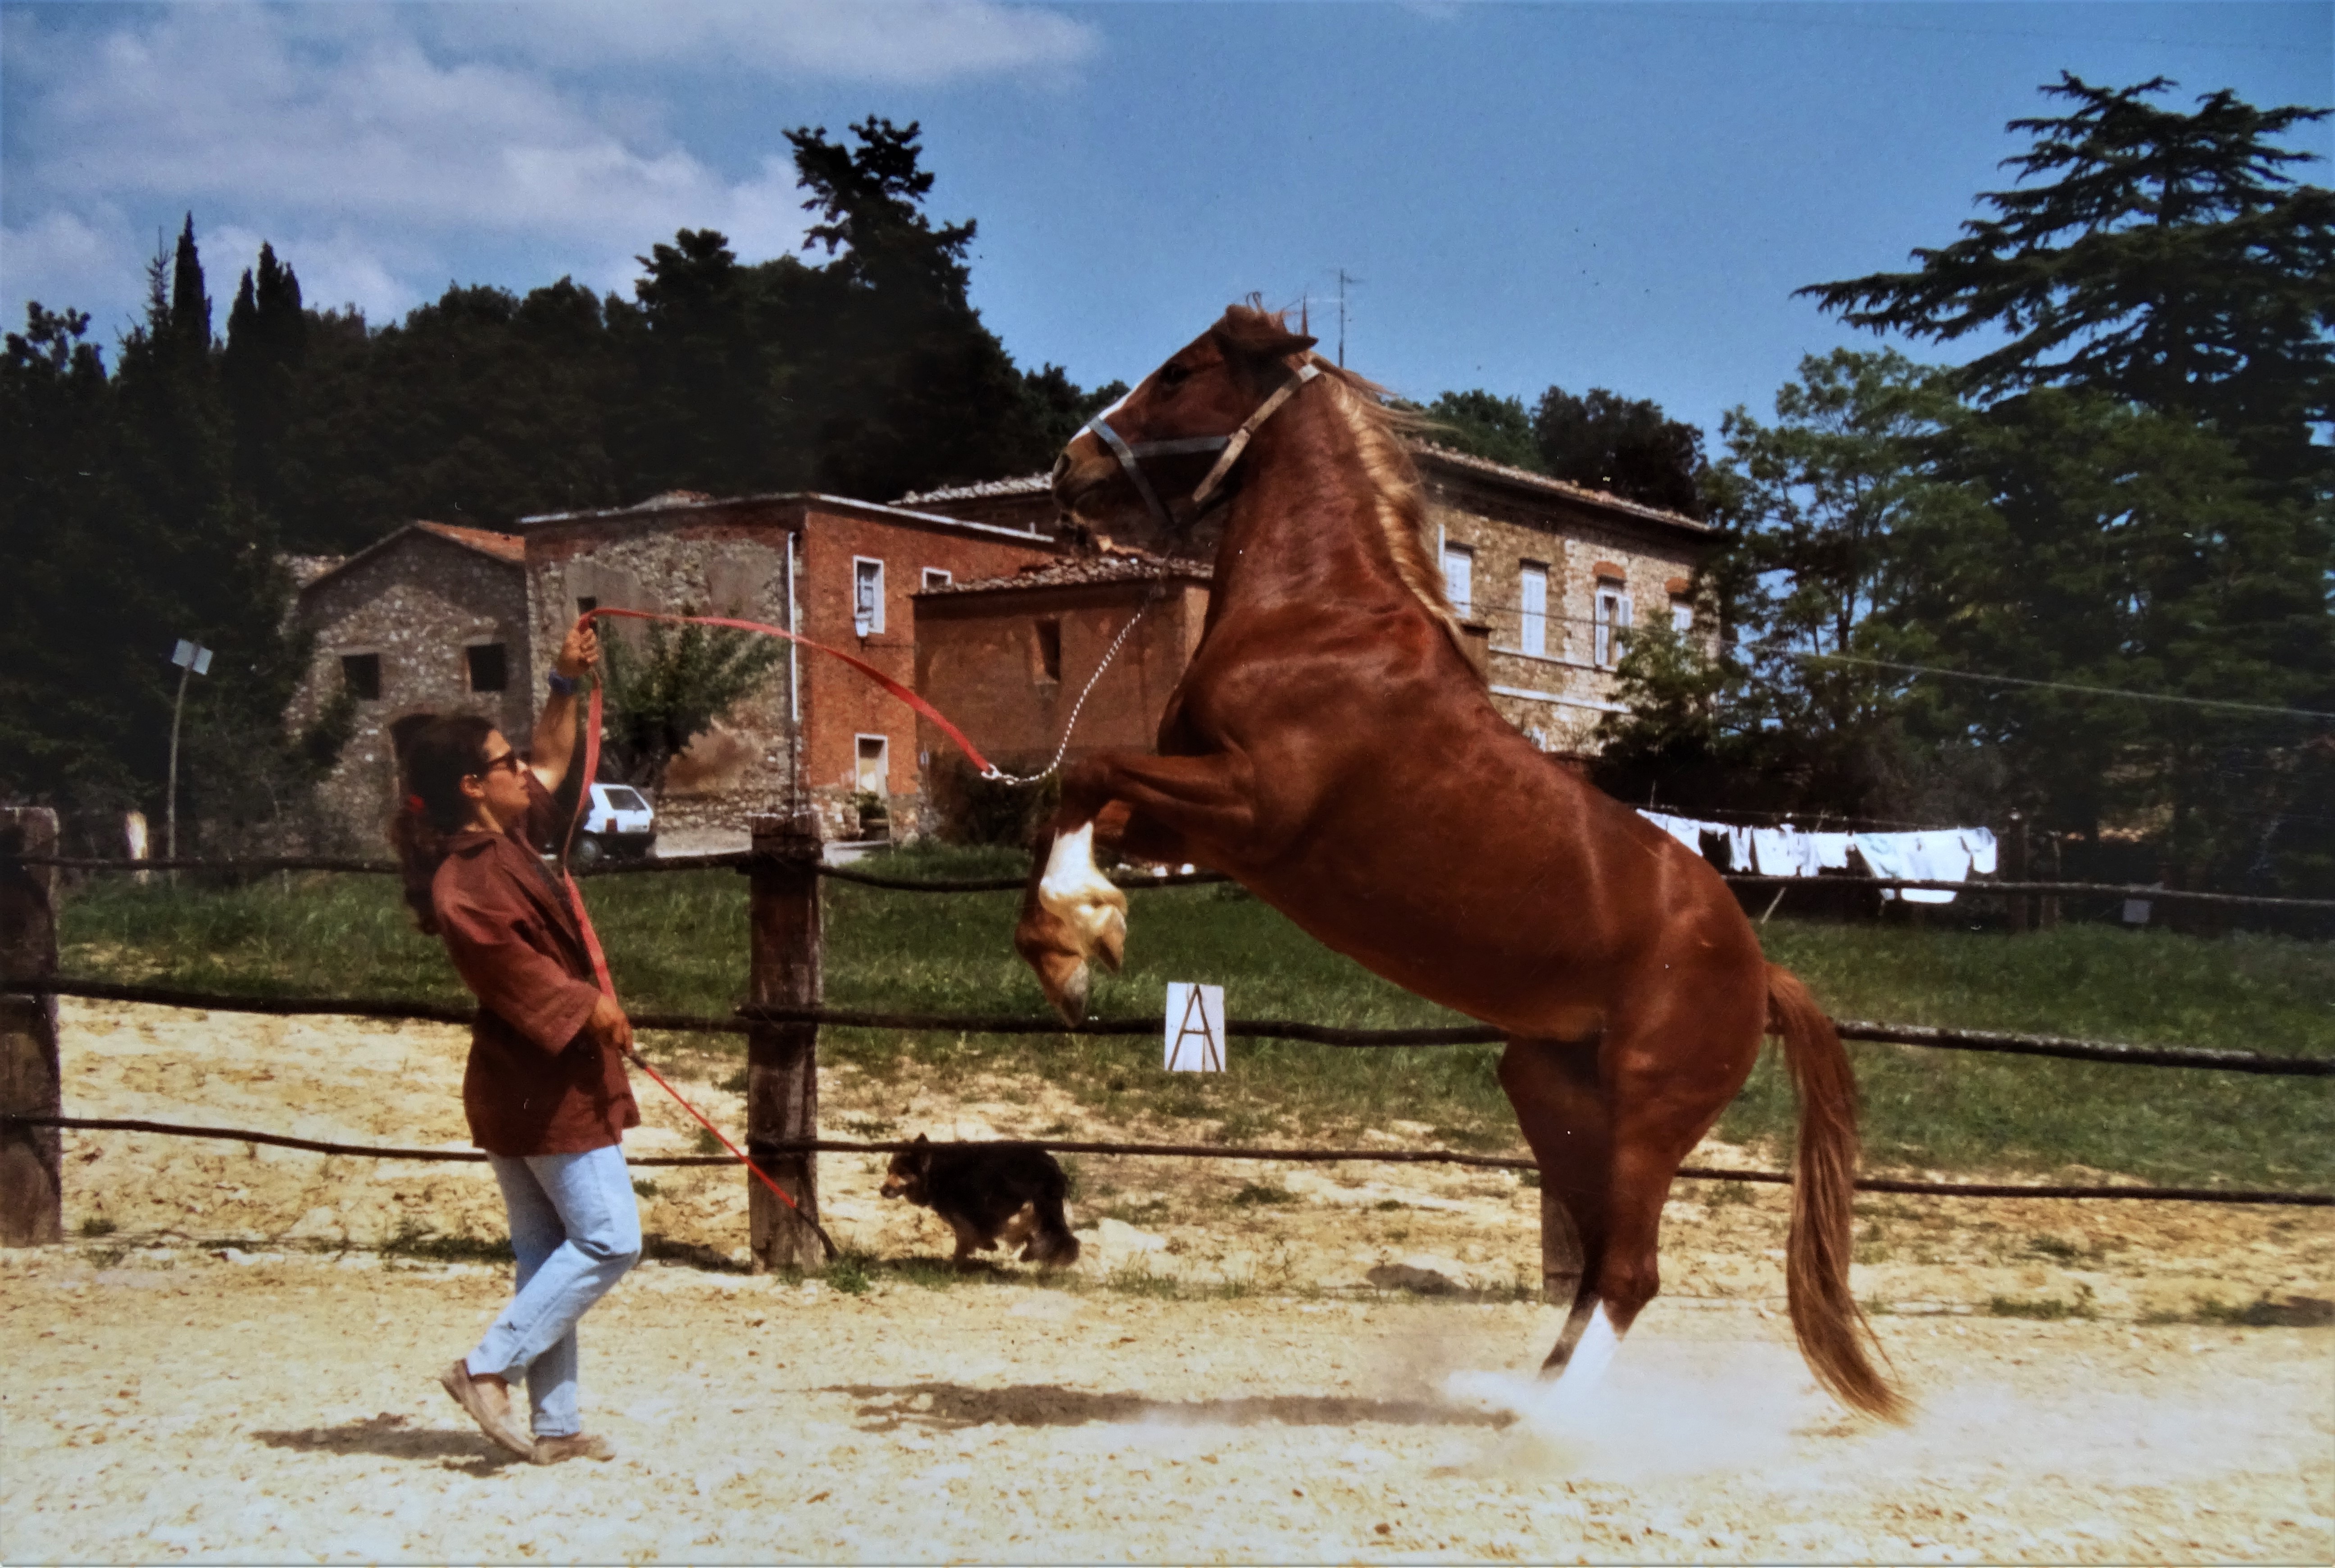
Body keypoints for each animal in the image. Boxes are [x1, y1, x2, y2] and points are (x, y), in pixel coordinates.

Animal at [1013, 304, 1904, 1421]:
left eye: (1180, 374)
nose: (1068, 465)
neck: (1320, 618)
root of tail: (1763, 972)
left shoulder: (1254, 809)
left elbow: (1086, 768)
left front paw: (1076, 941)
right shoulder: (1200, 824)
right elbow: (1082, 798)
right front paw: (1071, 943)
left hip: (1650, 1112)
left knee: (1631, 1271)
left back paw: (1549, 1424)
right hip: (1553, 1092)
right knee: (1599, 1259)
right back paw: (1519, 1391)